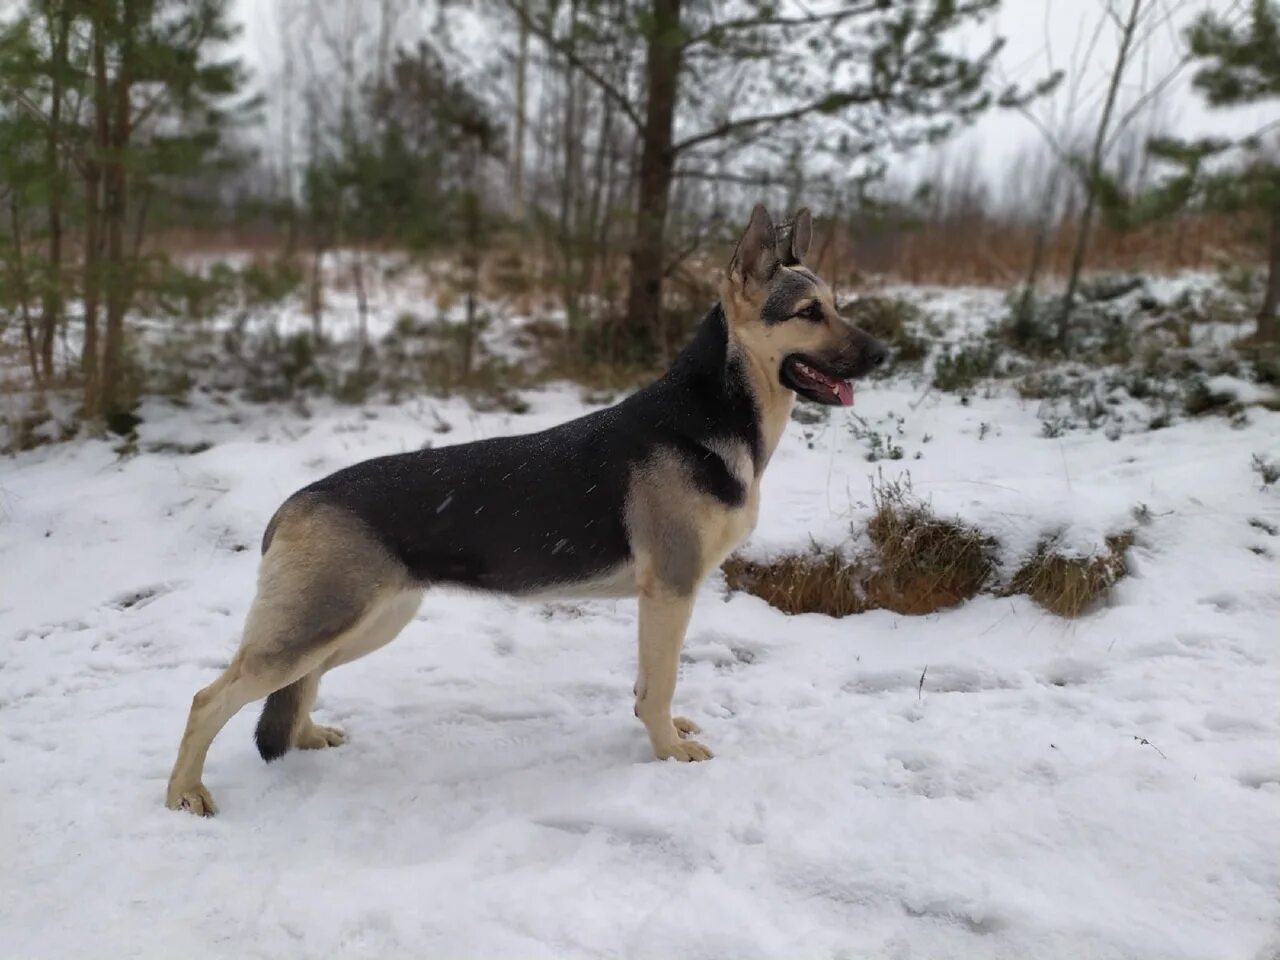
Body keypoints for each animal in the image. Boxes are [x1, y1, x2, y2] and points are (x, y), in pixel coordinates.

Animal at [165, 207, 885, 814]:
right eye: (808, 311)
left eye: (837, 306)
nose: (885, 354)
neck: (713, 414)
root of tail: (292, 502)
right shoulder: (670, 594)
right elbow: (658, 685)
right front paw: (667, 751)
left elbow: (653, 688)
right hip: (320, 625)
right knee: (207, 699)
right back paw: (184, 794)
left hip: (367, 623)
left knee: (300, 681)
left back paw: (306, 735)